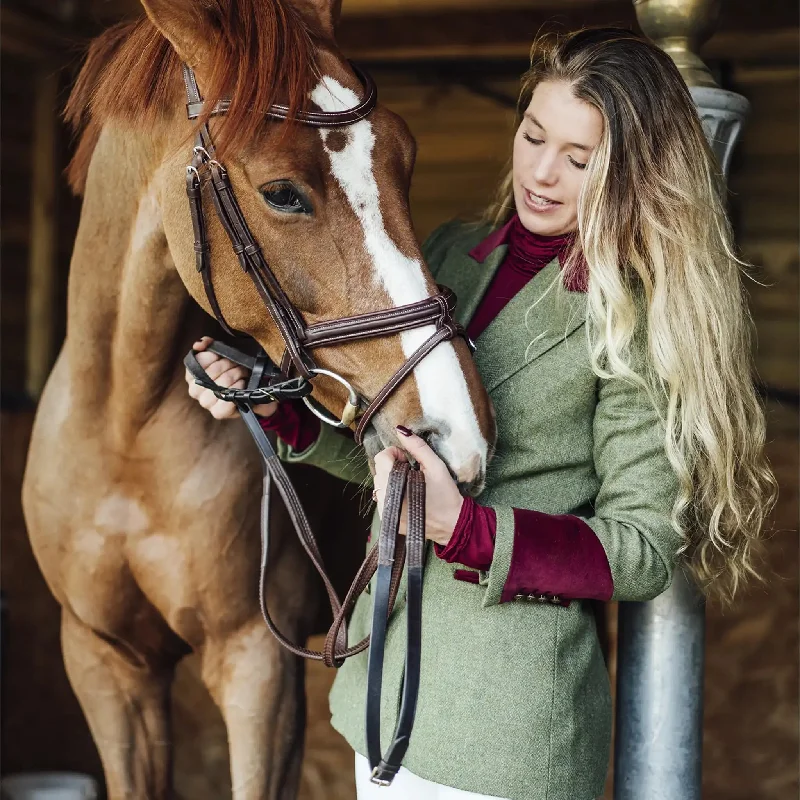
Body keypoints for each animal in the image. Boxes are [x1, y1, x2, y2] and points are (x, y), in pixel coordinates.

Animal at [20, 3, 494, 796]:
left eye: (405, 158)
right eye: (281, 192)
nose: (458, 432)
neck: (124, 425)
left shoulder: (258, 667)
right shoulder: (107, 664)